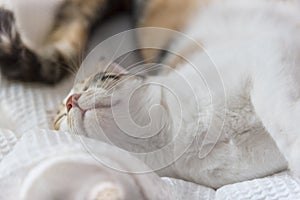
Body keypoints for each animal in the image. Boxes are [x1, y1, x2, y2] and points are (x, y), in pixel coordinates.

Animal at [52, 0, 300, 188]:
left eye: (102, 79)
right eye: (60, 118)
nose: (71, 101)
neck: (177, 137)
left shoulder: (266, 54)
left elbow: (280, 118)